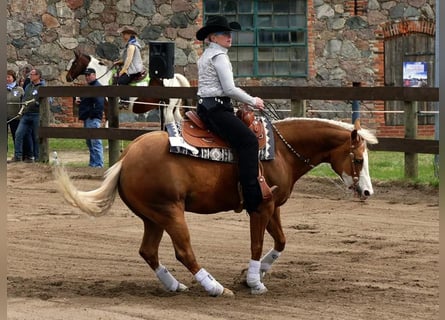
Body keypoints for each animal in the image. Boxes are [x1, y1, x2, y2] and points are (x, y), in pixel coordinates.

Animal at [53, 118, 376, 298]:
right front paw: (254, 282)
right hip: (171, 213)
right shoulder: (260, 207)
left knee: (148, 251)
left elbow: (281, 241)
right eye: (359, 159)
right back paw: (215, 288)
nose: (367, 191)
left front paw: (254, 274)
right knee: (184, 252)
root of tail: (126, 156)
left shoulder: (273, 207)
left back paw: (175, 286)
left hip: (154, 217)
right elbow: (257, 244)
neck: (281, 151)